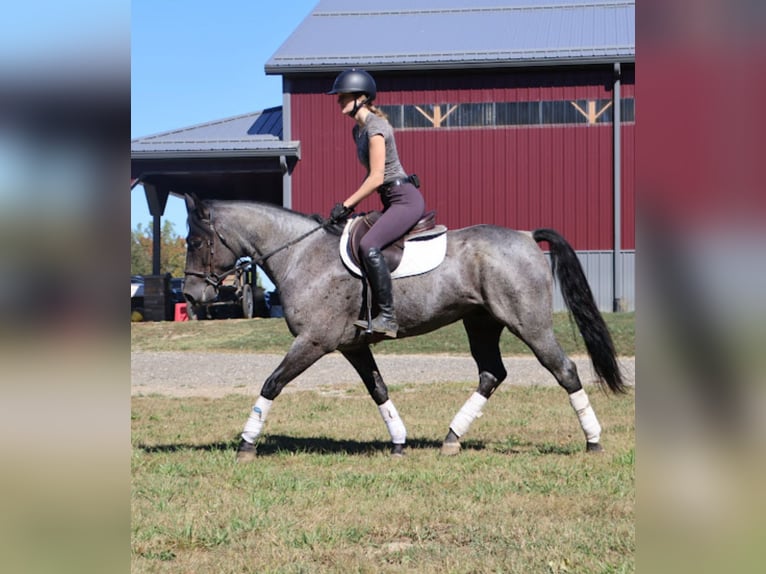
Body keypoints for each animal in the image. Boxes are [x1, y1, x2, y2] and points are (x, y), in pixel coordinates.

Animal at [181, 194, 627, 461]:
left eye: (196, 242)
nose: (190, 295)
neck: (302, 254)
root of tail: (525, 236)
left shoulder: (314, 341)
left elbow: (271, 384)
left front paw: (246, 443)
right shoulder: (352, 346)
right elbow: (378, 389)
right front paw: (398, 442)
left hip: (528, 324)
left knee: (564, 370)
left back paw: (593, 440)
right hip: (480, 323)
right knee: (491, 373)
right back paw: (452, 438)